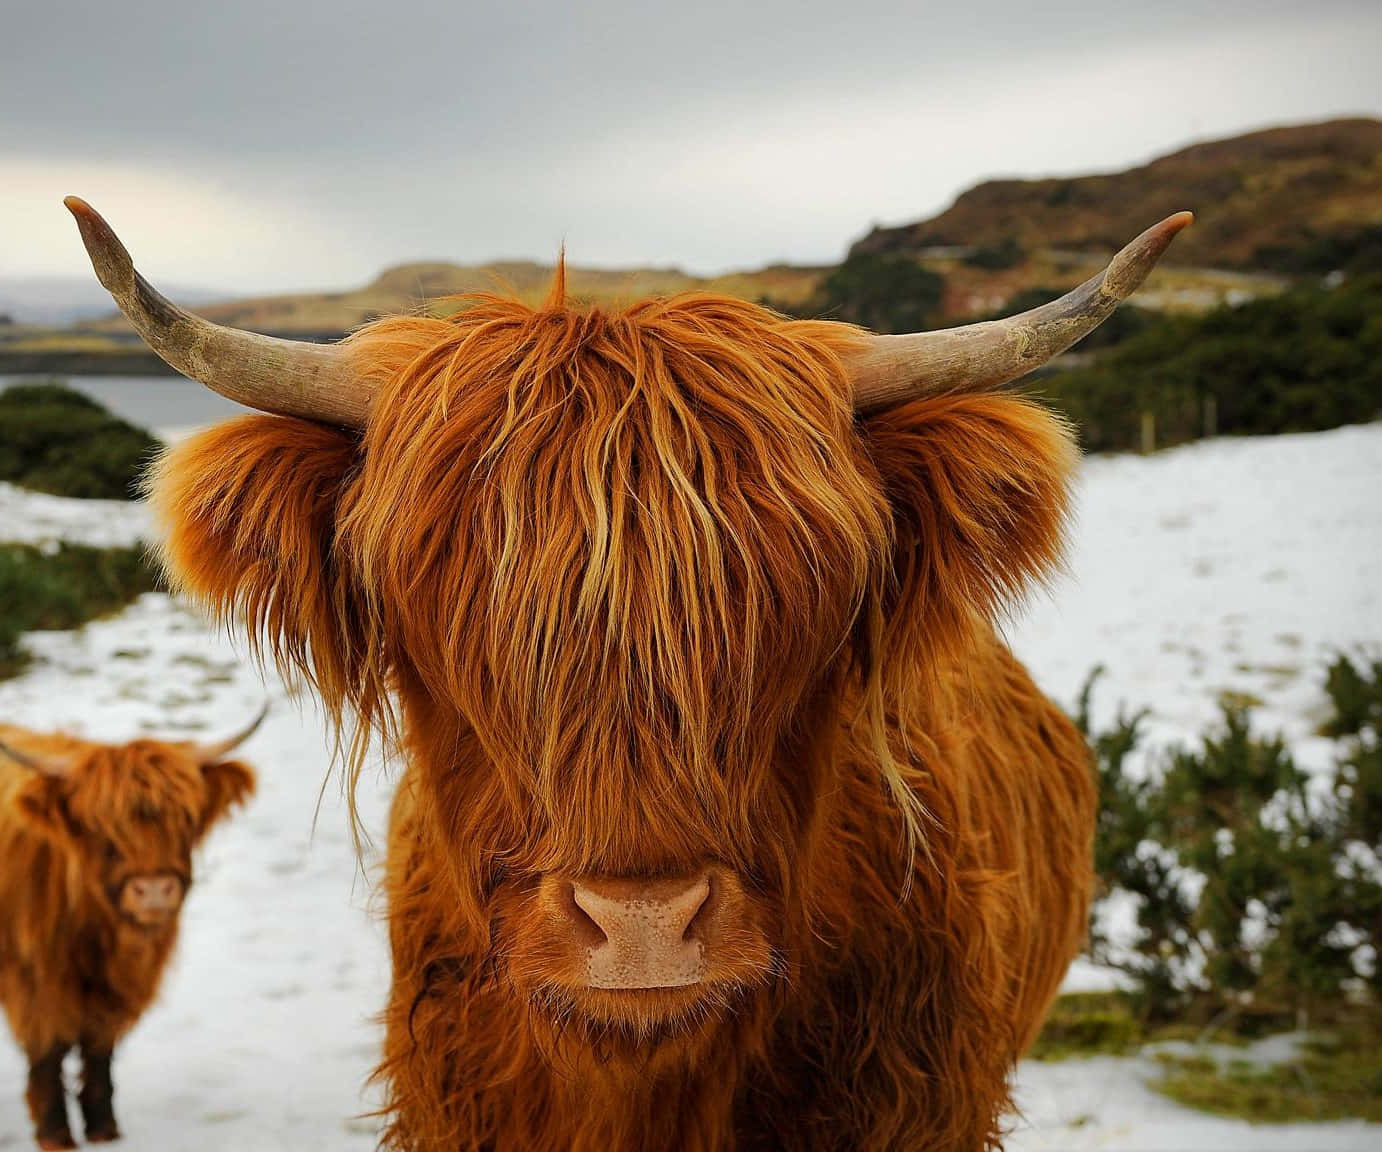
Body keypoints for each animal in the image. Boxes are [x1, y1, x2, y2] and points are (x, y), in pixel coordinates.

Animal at [0, 713, 259, 1149]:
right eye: (97, 825)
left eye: (186, 818)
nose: (153, 890)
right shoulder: (33, 982)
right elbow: (48, 1052)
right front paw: (55, 1134)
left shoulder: (117, 990)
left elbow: (99, 1050)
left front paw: (104, 1128)